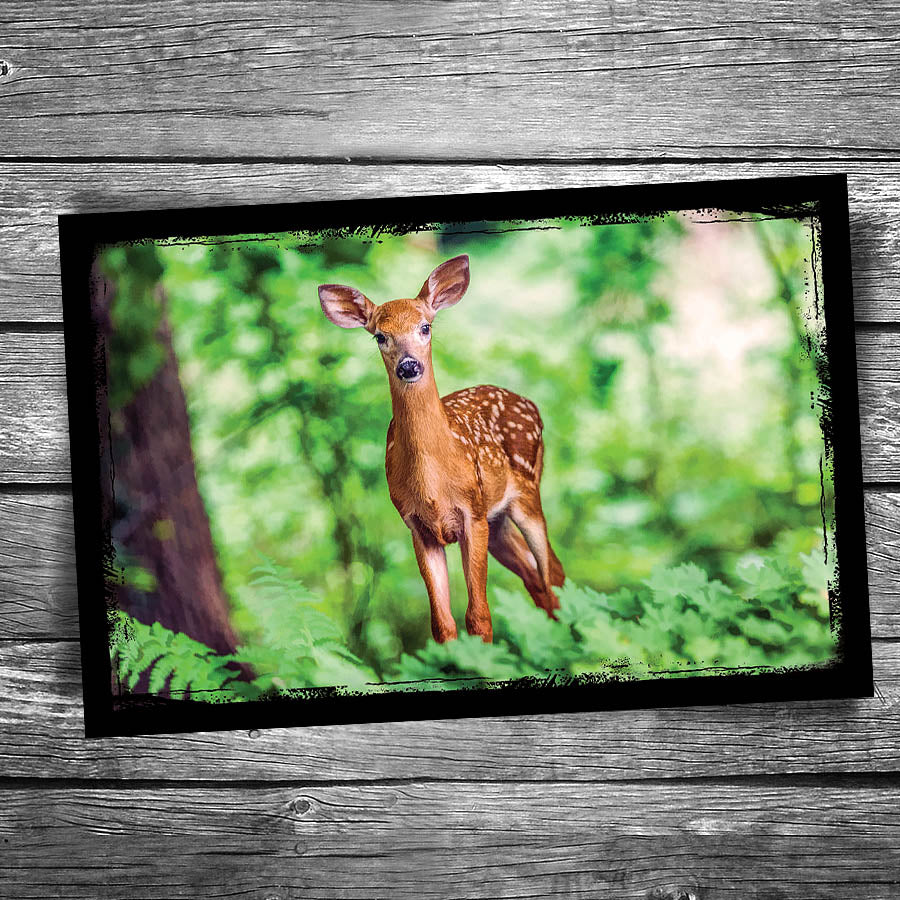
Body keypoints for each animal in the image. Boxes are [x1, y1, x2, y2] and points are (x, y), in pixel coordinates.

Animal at [318, 255, 564, 644]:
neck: (433, 480)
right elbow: (442, 624)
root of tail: (531, 405)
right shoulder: (417, 526)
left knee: (552, 571)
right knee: (536, 578)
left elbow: (479, 617)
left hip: (526, 492)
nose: (408, 366)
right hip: (498, 522)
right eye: (379, 336)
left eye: (425, 327)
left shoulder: (472, 513)